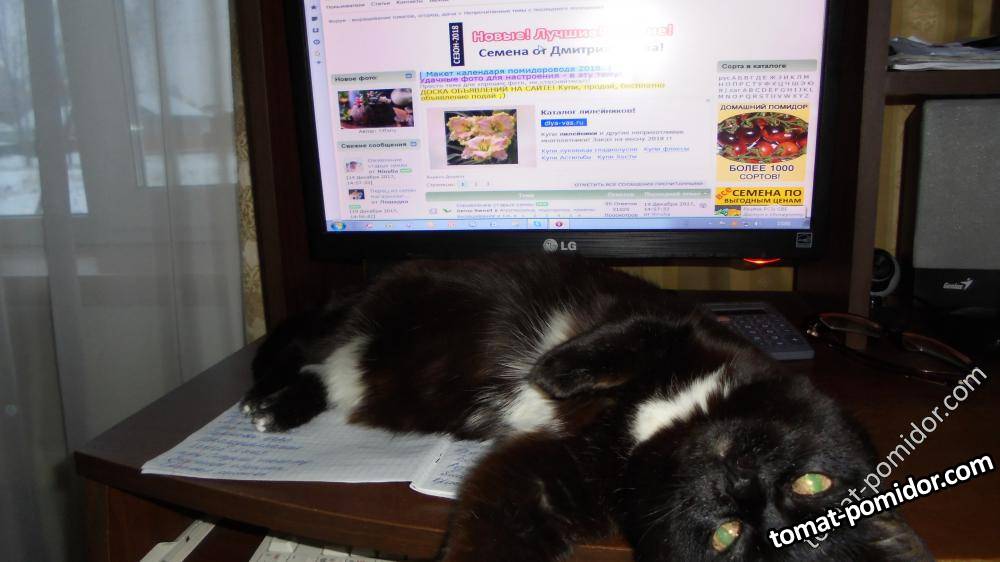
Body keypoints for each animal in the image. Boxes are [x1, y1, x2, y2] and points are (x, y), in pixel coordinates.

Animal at [241, 256, 932, 561]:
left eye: (728, 537)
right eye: (811, 482)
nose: (742, 487)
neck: (675, 424)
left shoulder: (565, 479)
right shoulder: (684, 329)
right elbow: (625, 339)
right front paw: (552, 371)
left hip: (375, 379)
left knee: (329, 373)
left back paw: (278, 407)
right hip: (392, 302)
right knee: (302, 340)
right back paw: (262, 392)